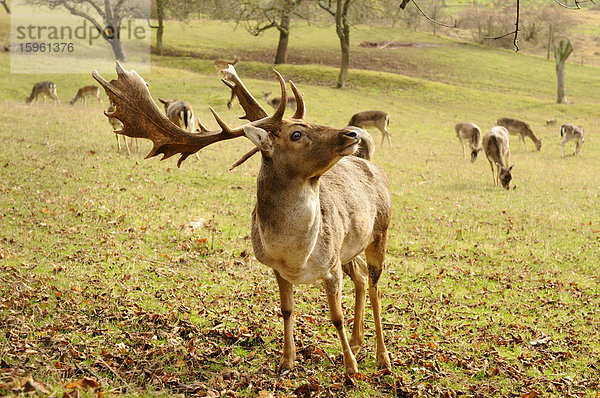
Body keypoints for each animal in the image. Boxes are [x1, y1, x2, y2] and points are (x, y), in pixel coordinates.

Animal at [92, 61, 394, 374]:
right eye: (296, 134)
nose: (352, 134)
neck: (295, 256)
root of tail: (375, 167)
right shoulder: (280, 269)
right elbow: (286, 310)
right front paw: (287, 361)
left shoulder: (331, 266)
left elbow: (336, 317)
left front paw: (351, 369)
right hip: (350, 249)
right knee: (362, 277)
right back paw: (358, 343)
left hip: (380, 231)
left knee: (376, 289)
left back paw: (383, 358)